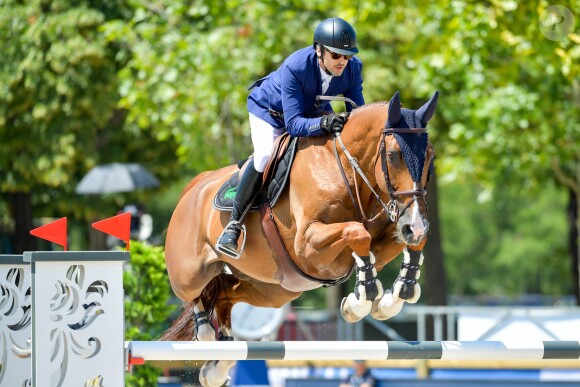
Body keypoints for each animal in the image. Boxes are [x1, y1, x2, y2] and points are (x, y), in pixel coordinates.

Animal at [161, 91, 438, 387]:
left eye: (430, 156)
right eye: (394, 155)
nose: (416, 224)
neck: (345, 169)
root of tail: (194, 187)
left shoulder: (387, 234)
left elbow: (405, 243)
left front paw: (391, 298)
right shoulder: (308, 245)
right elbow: (356, 231)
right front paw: (362, 299)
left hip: (275, 289)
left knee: (224, 293)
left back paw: (217, 366)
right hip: (190, 275)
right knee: (195, 294)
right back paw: (205, 330)